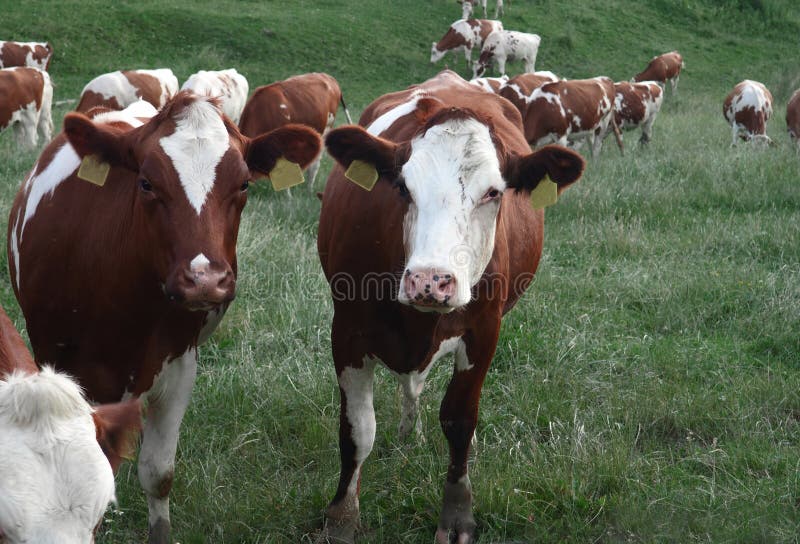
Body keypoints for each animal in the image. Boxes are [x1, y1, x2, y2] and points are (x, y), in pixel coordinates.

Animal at [316, 68, 584, 544]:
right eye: (403, 186)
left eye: (494, 192)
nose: (429, 280)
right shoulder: (346, 329)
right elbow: (357, 428)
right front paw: (342, 517)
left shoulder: (484, 331)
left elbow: (459, 421)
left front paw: (457, 515)